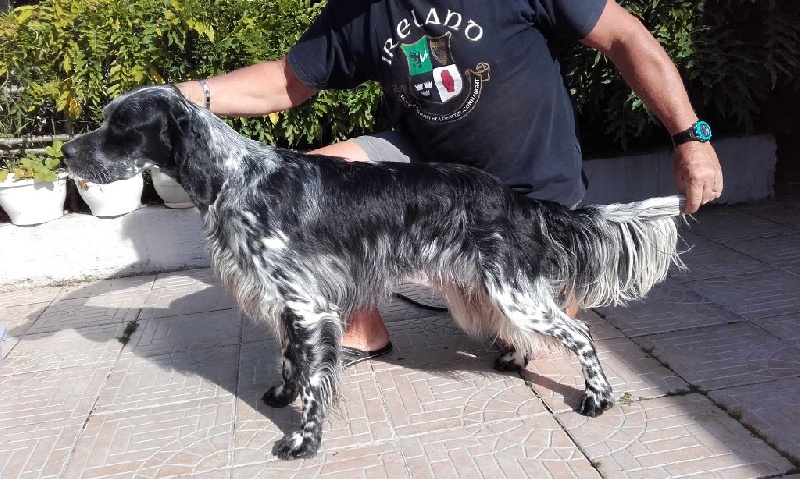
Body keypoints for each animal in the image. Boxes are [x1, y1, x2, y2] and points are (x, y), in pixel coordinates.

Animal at [62, 85, 684, 460]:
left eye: (121, 125)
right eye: (106, 119)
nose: (66, 153)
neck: (234, 179)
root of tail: (514, 198)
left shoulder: (308, 305)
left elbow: (315, 382)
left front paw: (303, 441)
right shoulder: (288, 303)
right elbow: (290, 361)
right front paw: (280, 396)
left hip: (512, 290)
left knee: (578, 333)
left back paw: (597, 398)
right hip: (482, 287)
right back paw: (513, 358)